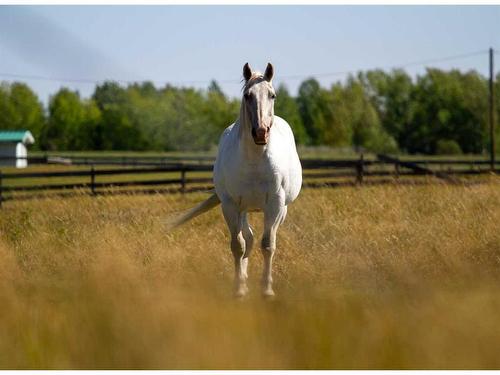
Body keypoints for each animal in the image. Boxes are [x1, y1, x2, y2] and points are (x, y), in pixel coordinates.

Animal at [172, 64, 302, 300]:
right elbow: (238, 246)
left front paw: (267, 290)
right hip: (243, 210)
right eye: (247, 95)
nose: (260, 132)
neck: (255, 160)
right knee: (248, 239)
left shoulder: (275, 205)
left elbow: (268, 245)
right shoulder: (231, 206)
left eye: (272, 95)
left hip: (281, 210)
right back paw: (243, 279)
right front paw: (239, 288)